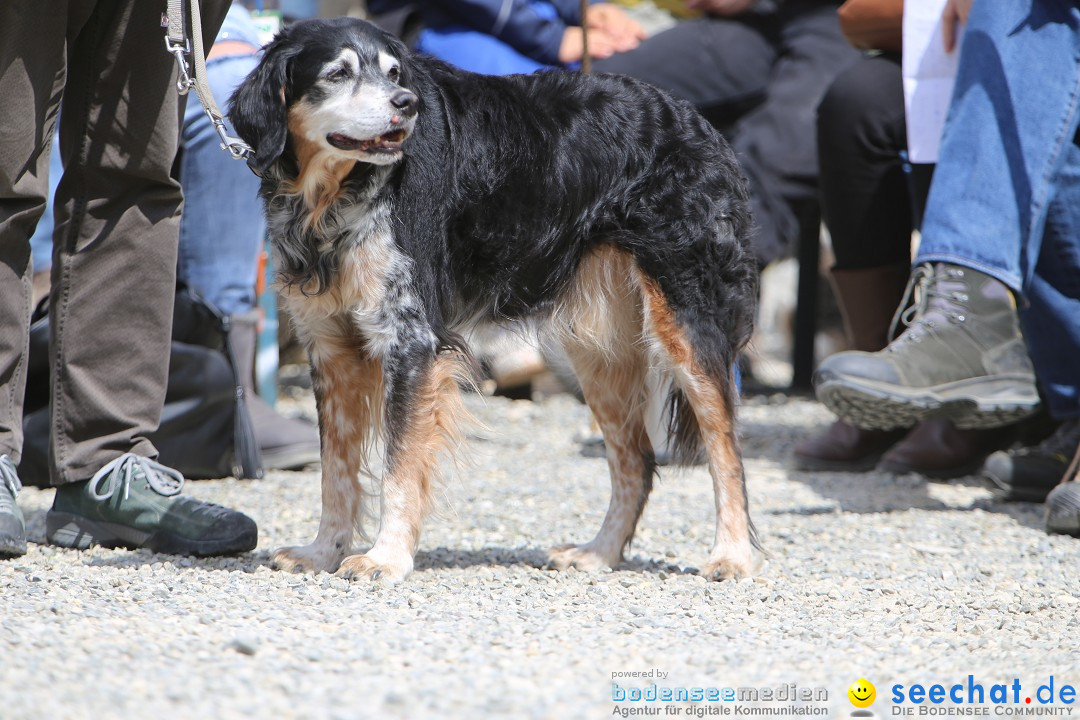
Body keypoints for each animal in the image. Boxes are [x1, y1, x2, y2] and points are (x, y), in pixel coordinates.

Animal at [228, 16, 760, 582]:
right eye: (338, 74)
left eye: (395, 73)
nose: (406, 103)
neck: (335, 194)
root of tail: (694, 120)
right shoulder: (332, 350)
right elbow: (336, 469)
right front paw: (323, 551)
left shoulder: (410, 340)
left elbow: (398, 465)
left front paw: (385, 557)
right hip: (599, 351)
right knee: (635, 459)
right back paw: (600, 552)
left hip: (686, 325)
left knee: (726, 450)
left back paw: (731, 554)